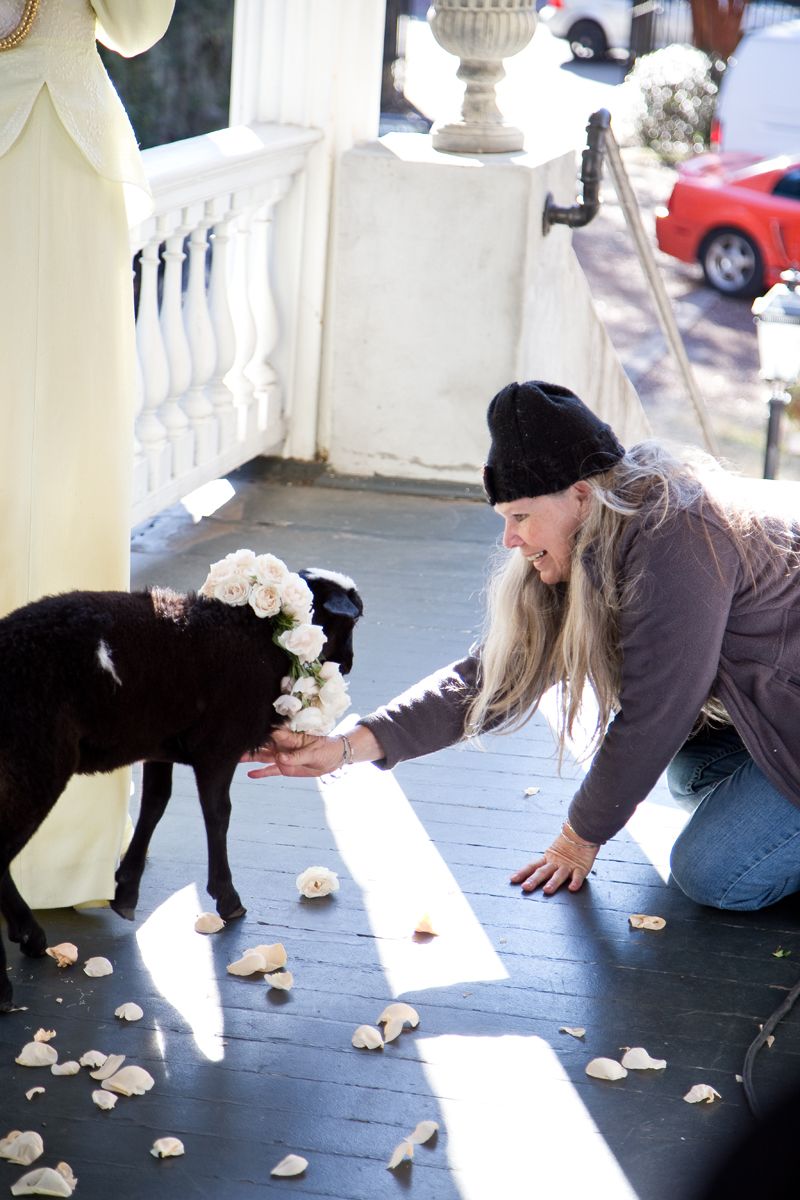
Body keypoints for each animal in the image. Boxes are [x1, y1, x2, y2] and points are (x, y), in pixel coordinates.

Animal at [0, 568, 359, 1012]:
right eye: (349, 622)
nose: (350, 662)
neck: (258, 635)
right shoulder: (218, 749)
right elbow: (218, 814)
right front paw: (227, 897)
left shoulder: (160, 744)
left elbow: (155, 804)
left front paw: (125, 890)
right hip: (34, 760)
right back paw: (8, 978)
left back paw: (29, 936)